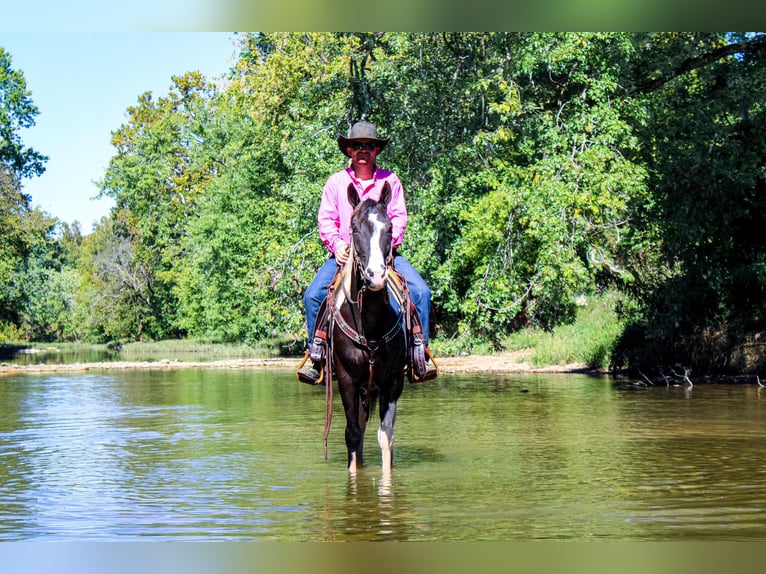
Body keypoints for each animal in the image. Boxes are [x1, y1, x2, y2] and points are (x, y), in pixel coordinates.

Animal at [330, 183, 414, 476]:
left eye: (389, 228)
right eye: (355, 228)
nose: (375, 275)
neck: (370, 324)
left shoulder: (393, 381)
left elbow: (385, 436)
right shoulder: (346, 378)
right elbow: (352, 433)